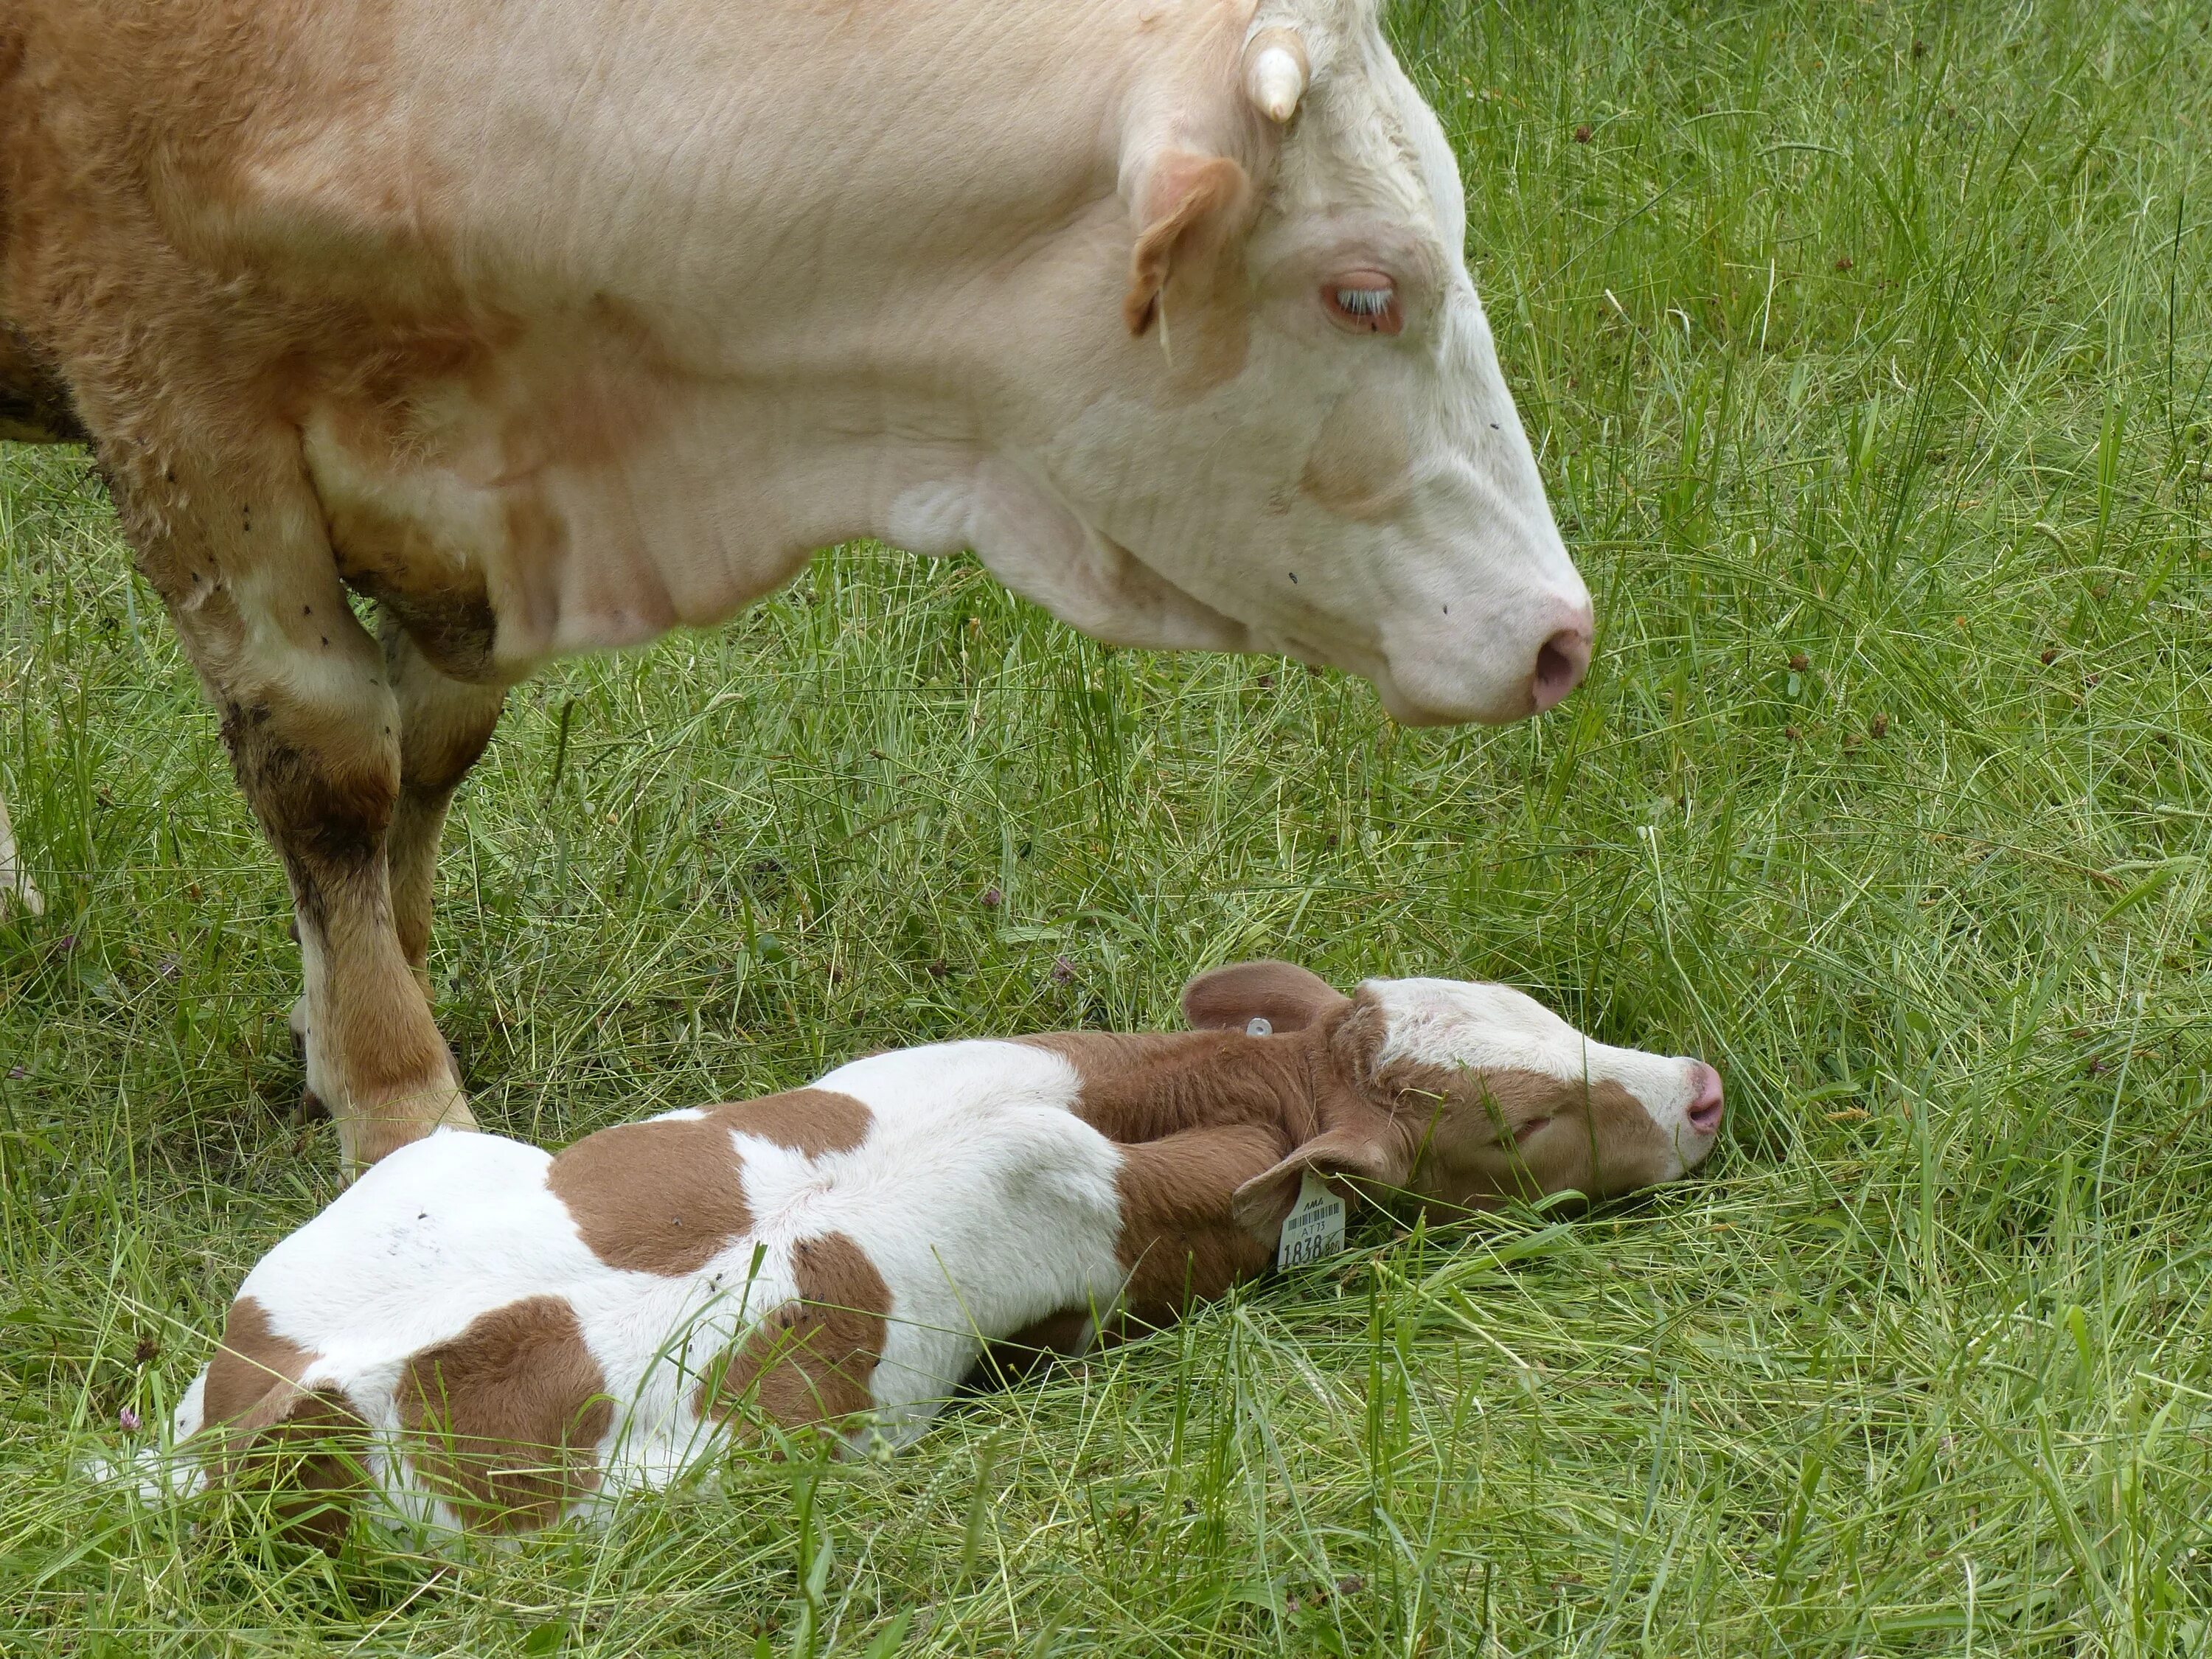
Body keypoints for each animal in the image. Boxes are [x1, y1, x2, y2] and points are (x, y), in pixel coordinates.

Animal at [0, 0, 1593, 1168]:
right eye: (1365, 292)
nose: (1560, 638)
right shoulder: (183, 410)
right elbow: (334, 770)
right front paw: (402, 1105)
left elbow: (432, 757)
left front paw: (343, 1019)